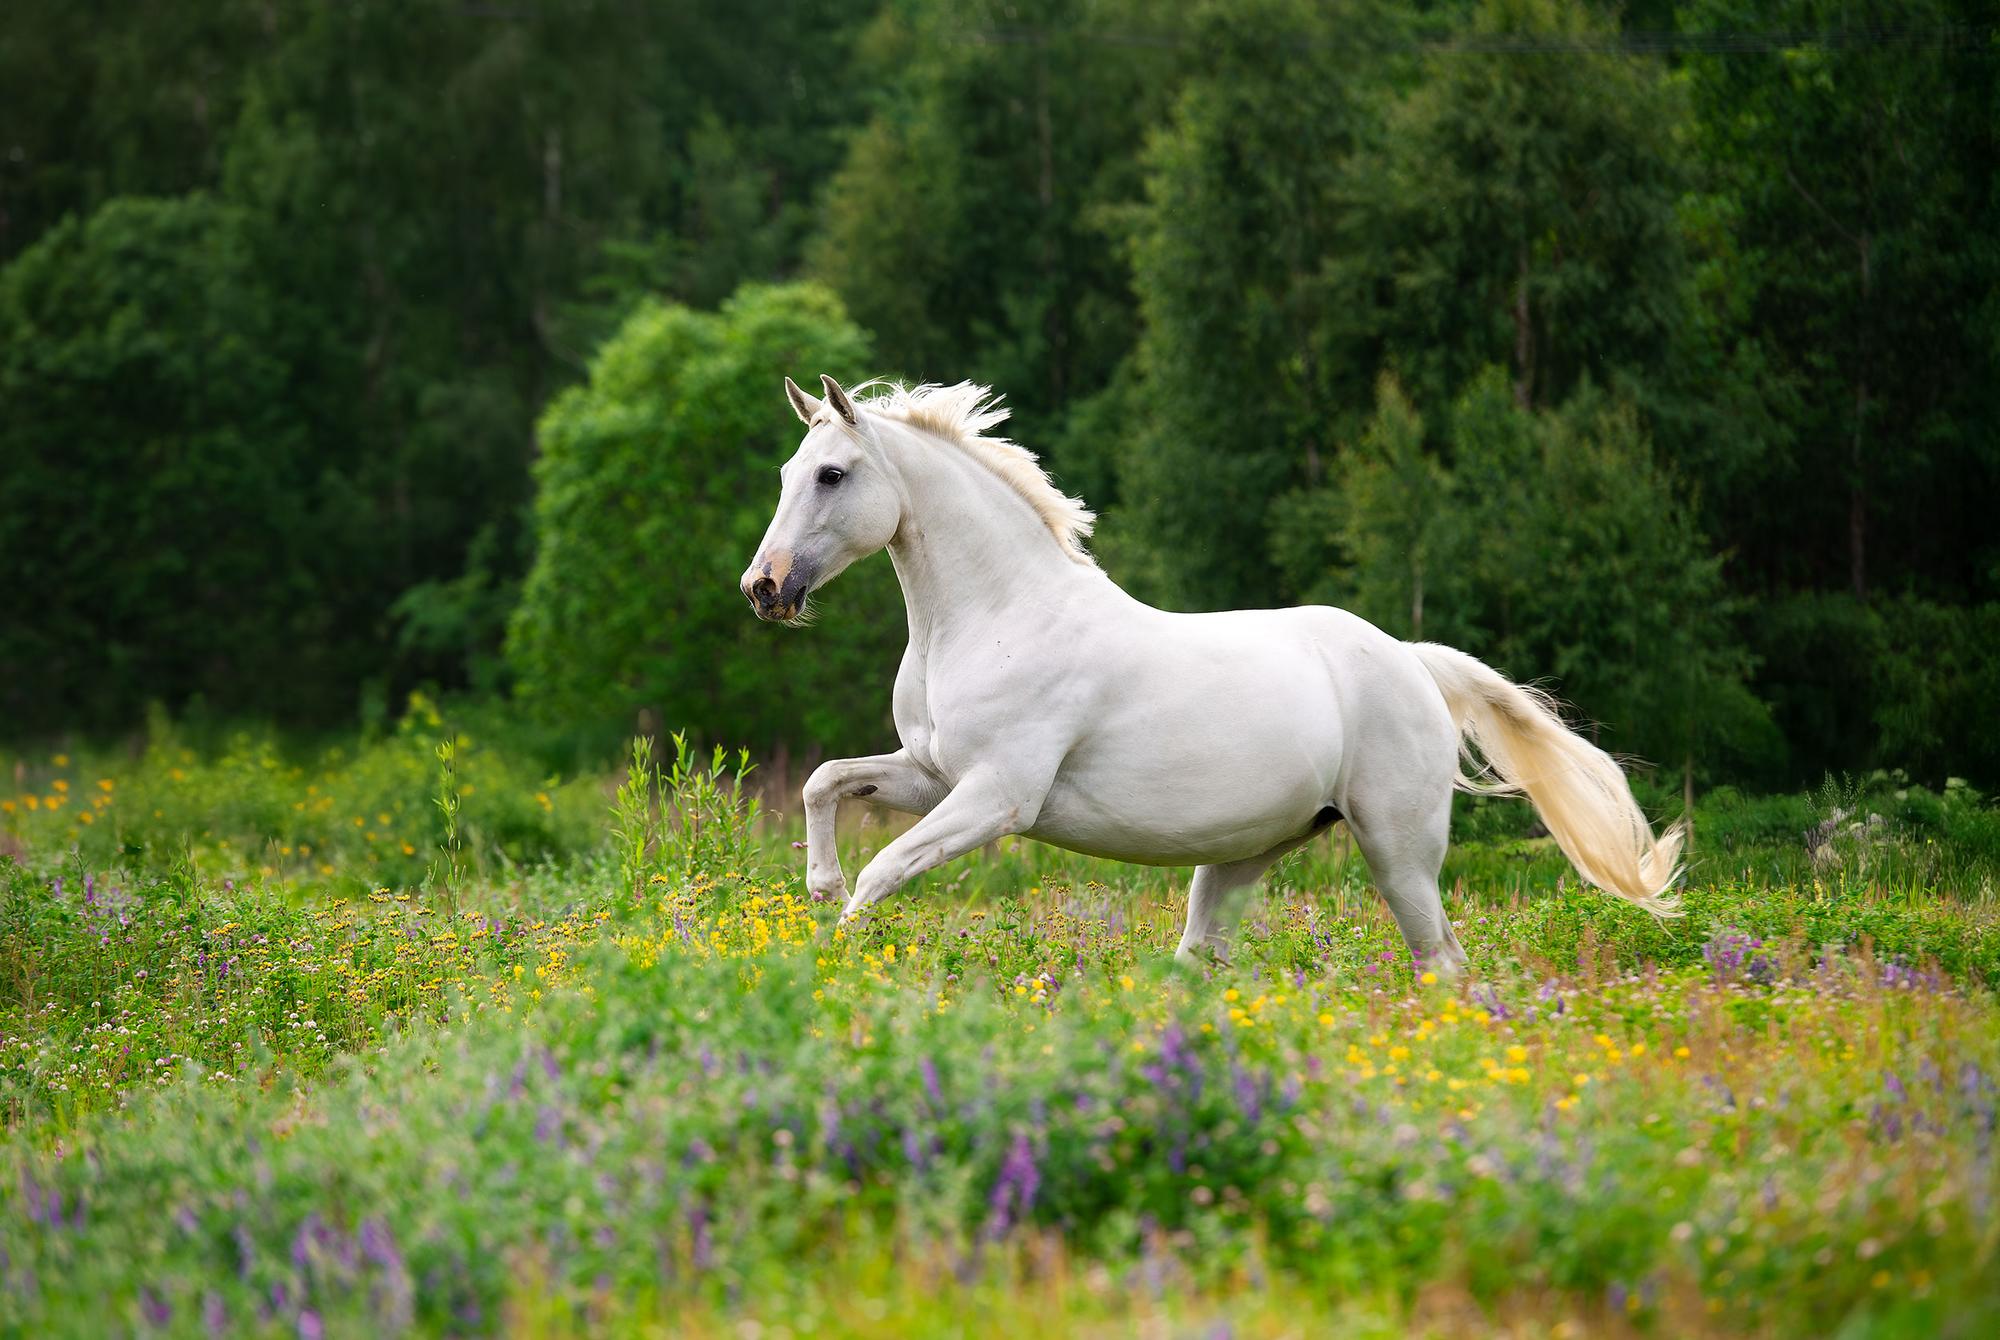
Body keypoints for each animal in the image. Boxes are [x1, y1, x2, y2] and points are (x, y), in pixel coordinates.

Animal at [741, 375, 1682, 973]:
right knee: (1201, 959)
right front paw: (818, 888)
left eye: (833, 474)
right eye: (784, 473)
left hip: (1400, 853)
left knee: (1442, 961)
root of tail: (1412, 661)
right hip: (1243, 857)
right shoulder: (933, 775)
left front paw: (838, 955)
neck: (994, 617)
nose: (764, 588)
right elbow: (826, 781)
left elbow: (885, 872)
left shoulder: (998, 796)